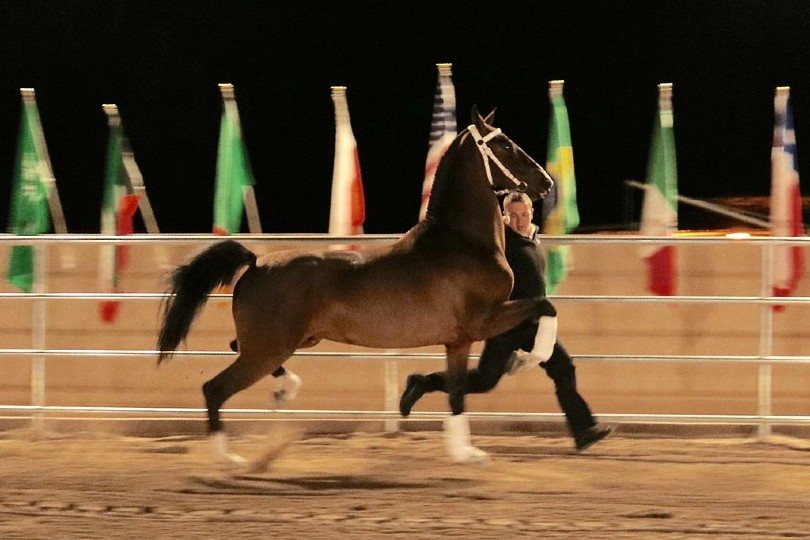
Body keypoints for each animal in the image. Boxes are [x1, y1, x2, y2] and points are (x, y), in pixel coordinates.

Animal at [157, 107, 556, 464]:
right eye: (504, 144)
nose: (546, 183)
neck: (462, 242)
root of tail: (255, 263)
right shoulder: (483, 321)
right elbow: (545, 305)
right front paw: (526, 359)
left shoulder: (459, 339)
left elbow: (457, 391)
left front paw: (464, 451)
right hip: (269, 348)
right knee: (215, 389)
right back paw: (229, 460)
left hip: (284, 342)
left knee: (234, 348)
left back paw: (286, 391)